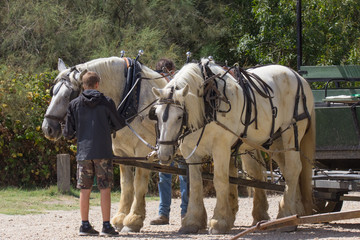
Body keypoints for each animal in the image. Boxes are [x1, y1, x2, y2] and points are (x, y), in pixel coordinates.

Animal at [41, 56, 167, 232]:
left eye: (69, 95)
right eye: (53, 91)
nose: (48, 128)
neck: (132, 95)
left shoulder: (143, 151)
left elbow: (139, 185)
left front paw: (133, 220)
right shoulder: (123, 154)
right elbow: (126, 185)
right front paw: (121, 218)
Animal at [152, 59, 316, 234]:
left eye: (179, 116)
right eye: (156, 114)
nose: (163, 154)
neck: (207, 104)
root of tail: (298, 76)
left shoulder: (221, 147)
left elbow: (220, 180)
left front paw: (219, 221)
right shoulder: (191, 152)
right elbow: (196, 184)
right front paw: (192, 221)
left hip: (292, 132)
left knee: (293, 169)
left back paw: (285, 217)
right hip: (275, 141)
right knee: (283, 171)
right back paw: (292, 211)